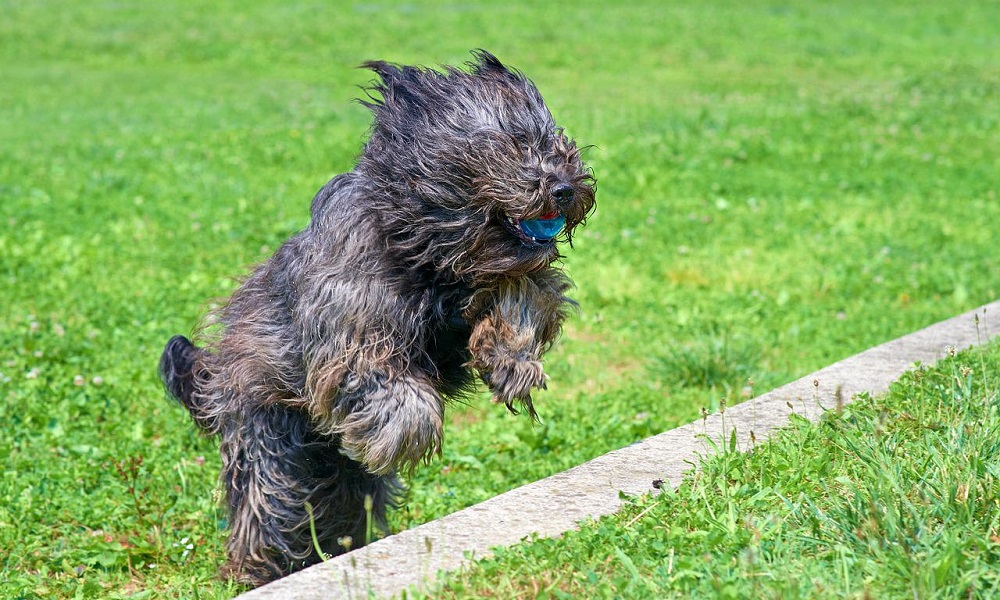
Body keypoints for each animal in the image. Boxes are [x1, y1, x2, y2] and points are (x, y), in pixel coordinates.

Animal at [158, 49, 592, 584]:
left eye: (557, 143)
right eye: (511, 143)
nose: (565, 188)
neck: (428, 254)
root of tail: (213, 374)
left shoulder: (515, 275)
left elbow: (528, 294)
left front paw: (510, 362)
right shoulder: (348, 328)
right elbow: (386, 382)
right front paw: (403, 434)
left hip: (340, 484)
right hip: (268, 440)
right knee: (266, 506)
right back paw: (257, 570)